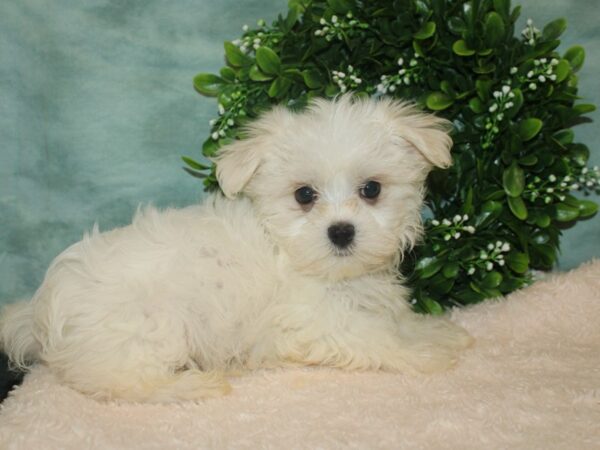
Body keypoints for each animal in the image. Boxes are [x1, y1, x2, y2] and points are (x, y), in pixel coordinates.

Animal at [2, 96, 476, 404]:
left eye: (372, 189)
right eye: (304, 195)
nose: (341, 232)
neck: (287, 246)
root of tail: (40, 309)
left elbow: (395, 322)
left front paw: (435, 332)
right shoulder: (313, 320)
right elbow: (374, 337)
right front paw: (424, 354)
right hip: (146, 325)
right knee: (121, 381)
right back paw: (193, 385)